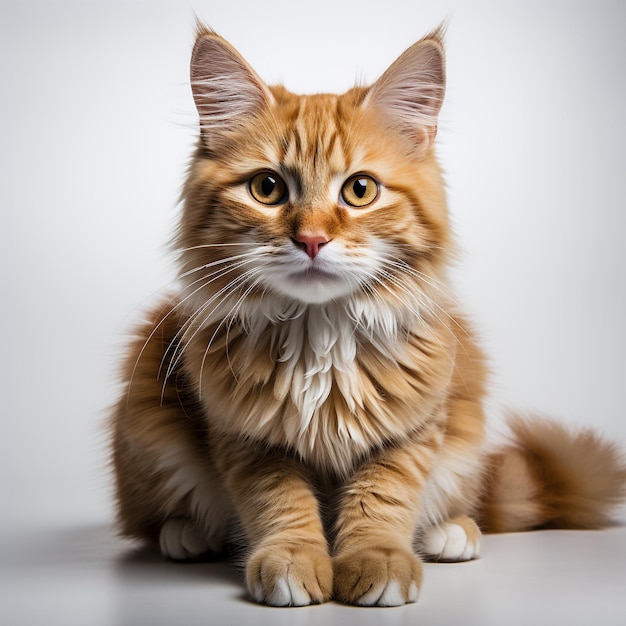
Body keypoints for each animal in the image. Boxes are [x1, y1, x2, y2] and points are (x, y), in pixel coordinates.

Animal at [108, 24, 624, 604]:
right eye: (267, 188)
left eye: (360, 190)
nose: (312, 239)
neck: (319, 339)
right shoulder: (247, 438)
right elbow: (280, 502)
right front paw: (293, 560)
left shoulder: (412, 431)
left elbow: (383, 498)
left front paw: (378, 561)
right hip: (146, 410)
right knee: (152, 519)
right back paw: (188, 534)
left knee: (466, 502)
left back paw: (451, 532)